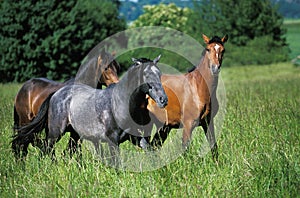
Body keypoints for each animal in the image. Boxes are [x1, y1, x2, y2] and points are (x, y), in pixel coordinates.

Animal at [12, 55, 169, 166]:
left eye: (159, 74)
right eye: (146, 75)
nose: (163, 99)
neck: (121, 104)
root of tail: (56, 94)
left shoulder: (136, 138)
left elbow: (150, 152)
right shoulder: (113, 140)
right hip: (55, 132)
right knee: (44, 148)